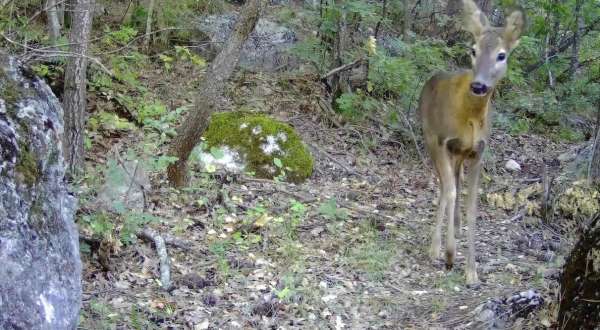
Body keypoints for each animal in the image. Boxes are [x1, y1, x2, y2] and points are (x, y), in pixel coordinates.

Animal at [420, 0, 524, 284]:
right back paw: (437, 247)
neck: (470, 118)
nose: (478, 86)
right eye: (473, 49)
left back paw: (453, 231)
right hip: (431, 140)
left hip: (459, 155)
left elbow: (472, 206)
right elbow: (450, 192)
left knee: (454, 182)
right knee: (446, 187)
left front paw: (472, 272)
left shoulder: (479, 152)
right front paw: (448, 253)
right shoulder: (442, 141)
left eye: (502, 55)